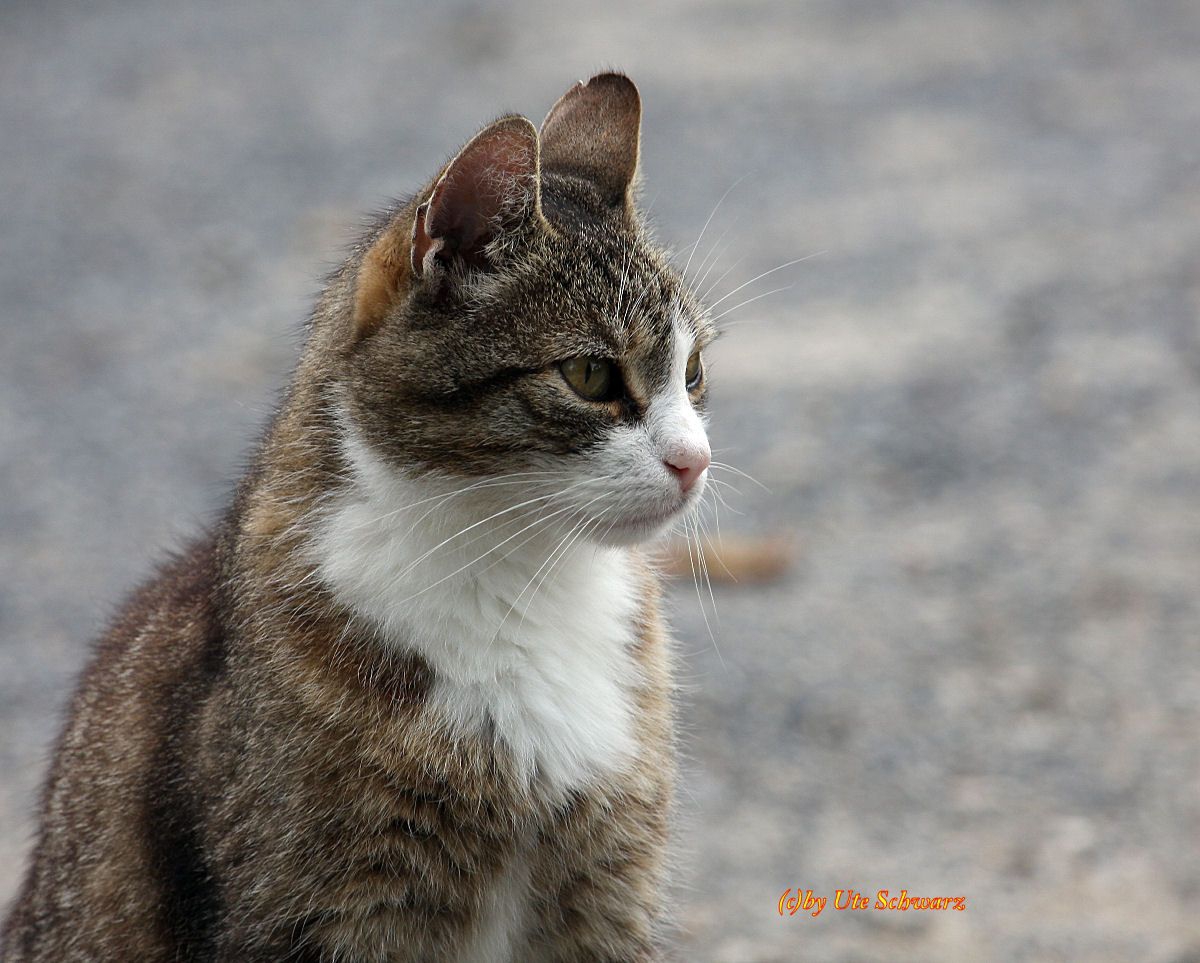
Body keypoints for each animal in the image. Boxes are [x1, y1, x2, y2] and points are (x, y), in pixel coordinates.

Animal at [2, 73, 710, 960]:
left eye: (694, 371)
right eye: (589, 375)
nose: (696, 460)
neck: (526, 586)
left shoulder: (608, 894)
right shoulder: (327, 911)